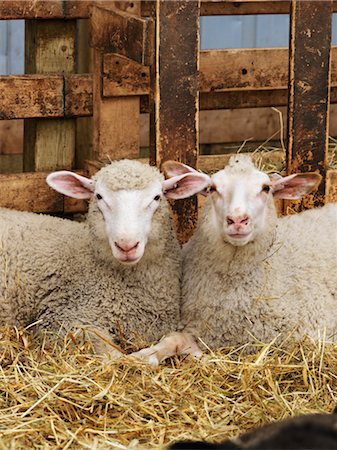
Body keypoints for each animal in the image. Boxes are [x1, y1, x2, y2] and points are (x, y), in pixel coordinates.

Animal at [133, 155, 334, 366]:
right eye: (212, 188)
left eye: (266, 188)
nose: (237, 220)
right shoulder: (200, 326)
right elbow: (173, 339)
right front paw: (141, 356)